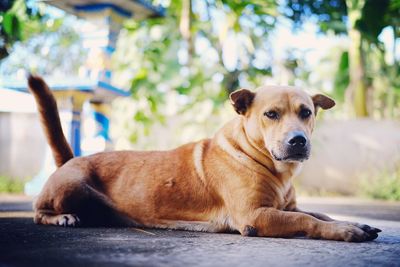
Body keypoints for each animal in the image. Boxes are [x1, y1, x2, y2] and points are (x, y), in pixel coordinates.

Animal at [28, 75, 382, 243]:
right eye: (271, 114)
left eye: (306, 112)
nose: (298, 141)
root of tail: (71, 159)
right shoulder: (255, 215)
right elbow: (307, 221)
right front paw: (344, 231)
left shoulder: (287, 206)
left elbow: (320, 213)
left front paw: (351, 223)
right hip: (71, 187)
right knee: (38, 212)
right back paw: (62, 217)